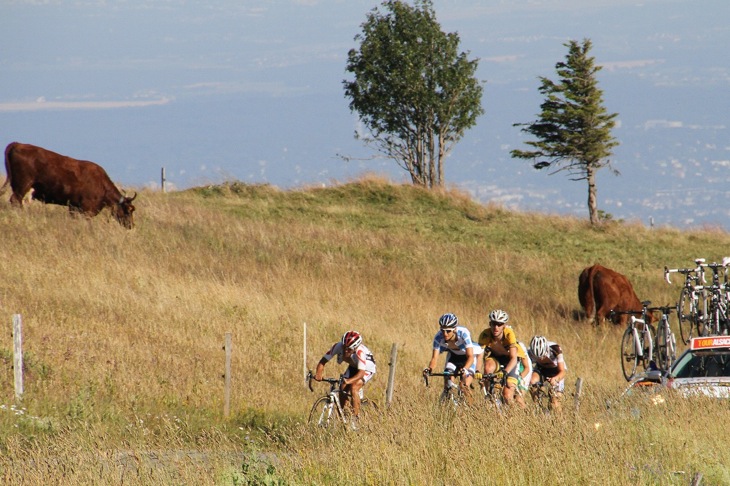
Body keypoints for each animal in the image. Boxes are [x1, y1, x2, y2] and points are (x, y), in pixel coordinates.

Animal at [1, 141, 136, 229]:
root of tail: (17, 144)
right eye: (128, 210)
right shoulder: (86, 210)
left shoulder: (73, 207)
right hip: (22, 186)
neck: (102, 186)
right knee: (15, 201)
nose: (131, 225)